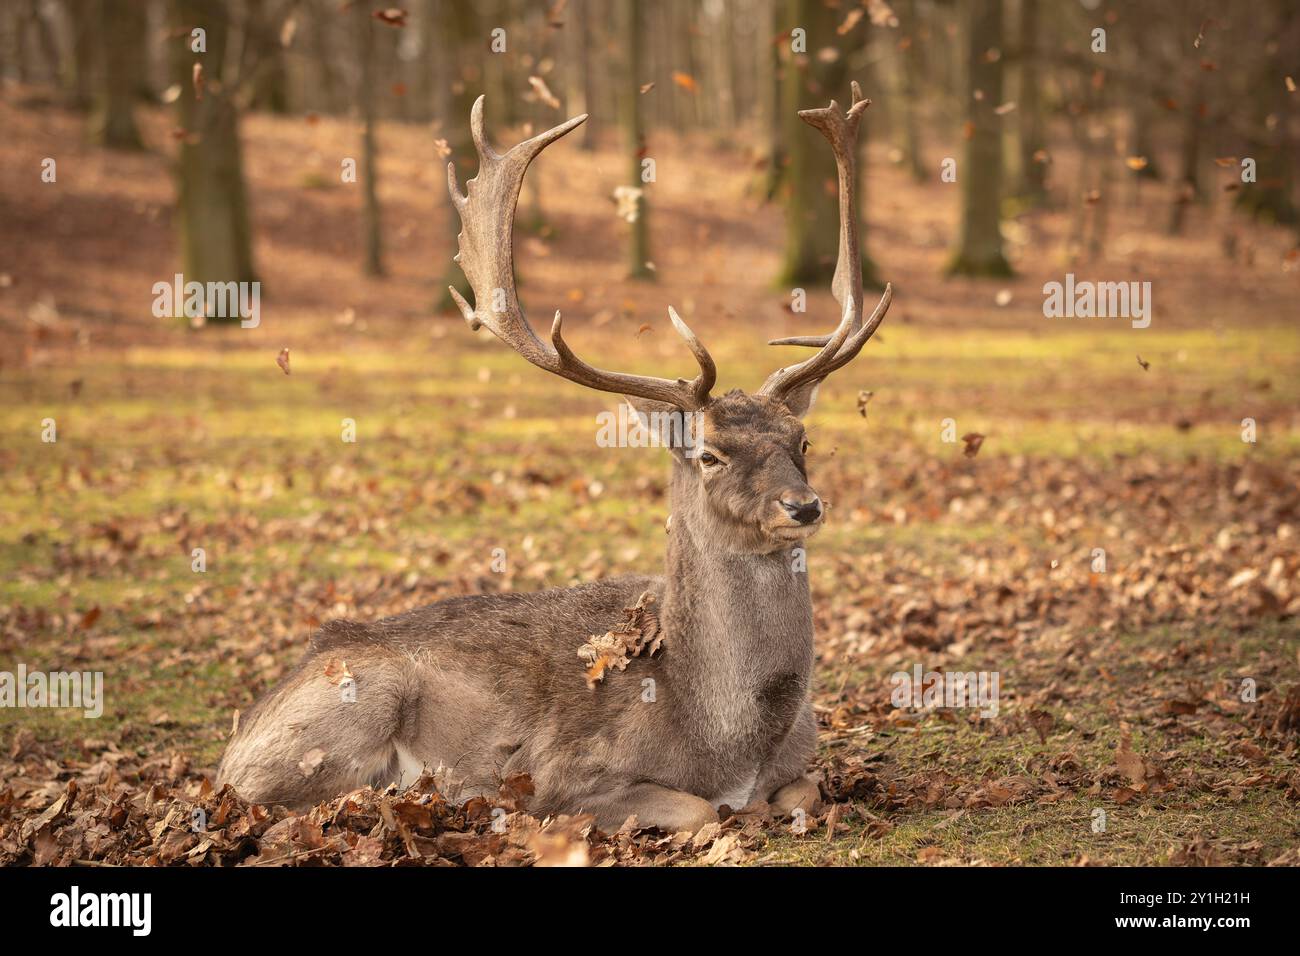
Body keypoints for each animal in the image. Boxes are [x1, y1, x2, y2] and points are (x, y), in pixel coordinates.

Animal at [216, 84, 891, 835]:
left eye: (802, 441)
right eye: (709, 454)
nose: (802, 505)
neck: (728, 741)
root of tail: (238, 735)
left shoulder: (801, 762)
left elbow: (806, 792)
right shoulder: (565, 776)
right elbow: (699, 810)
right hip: (352, 703)